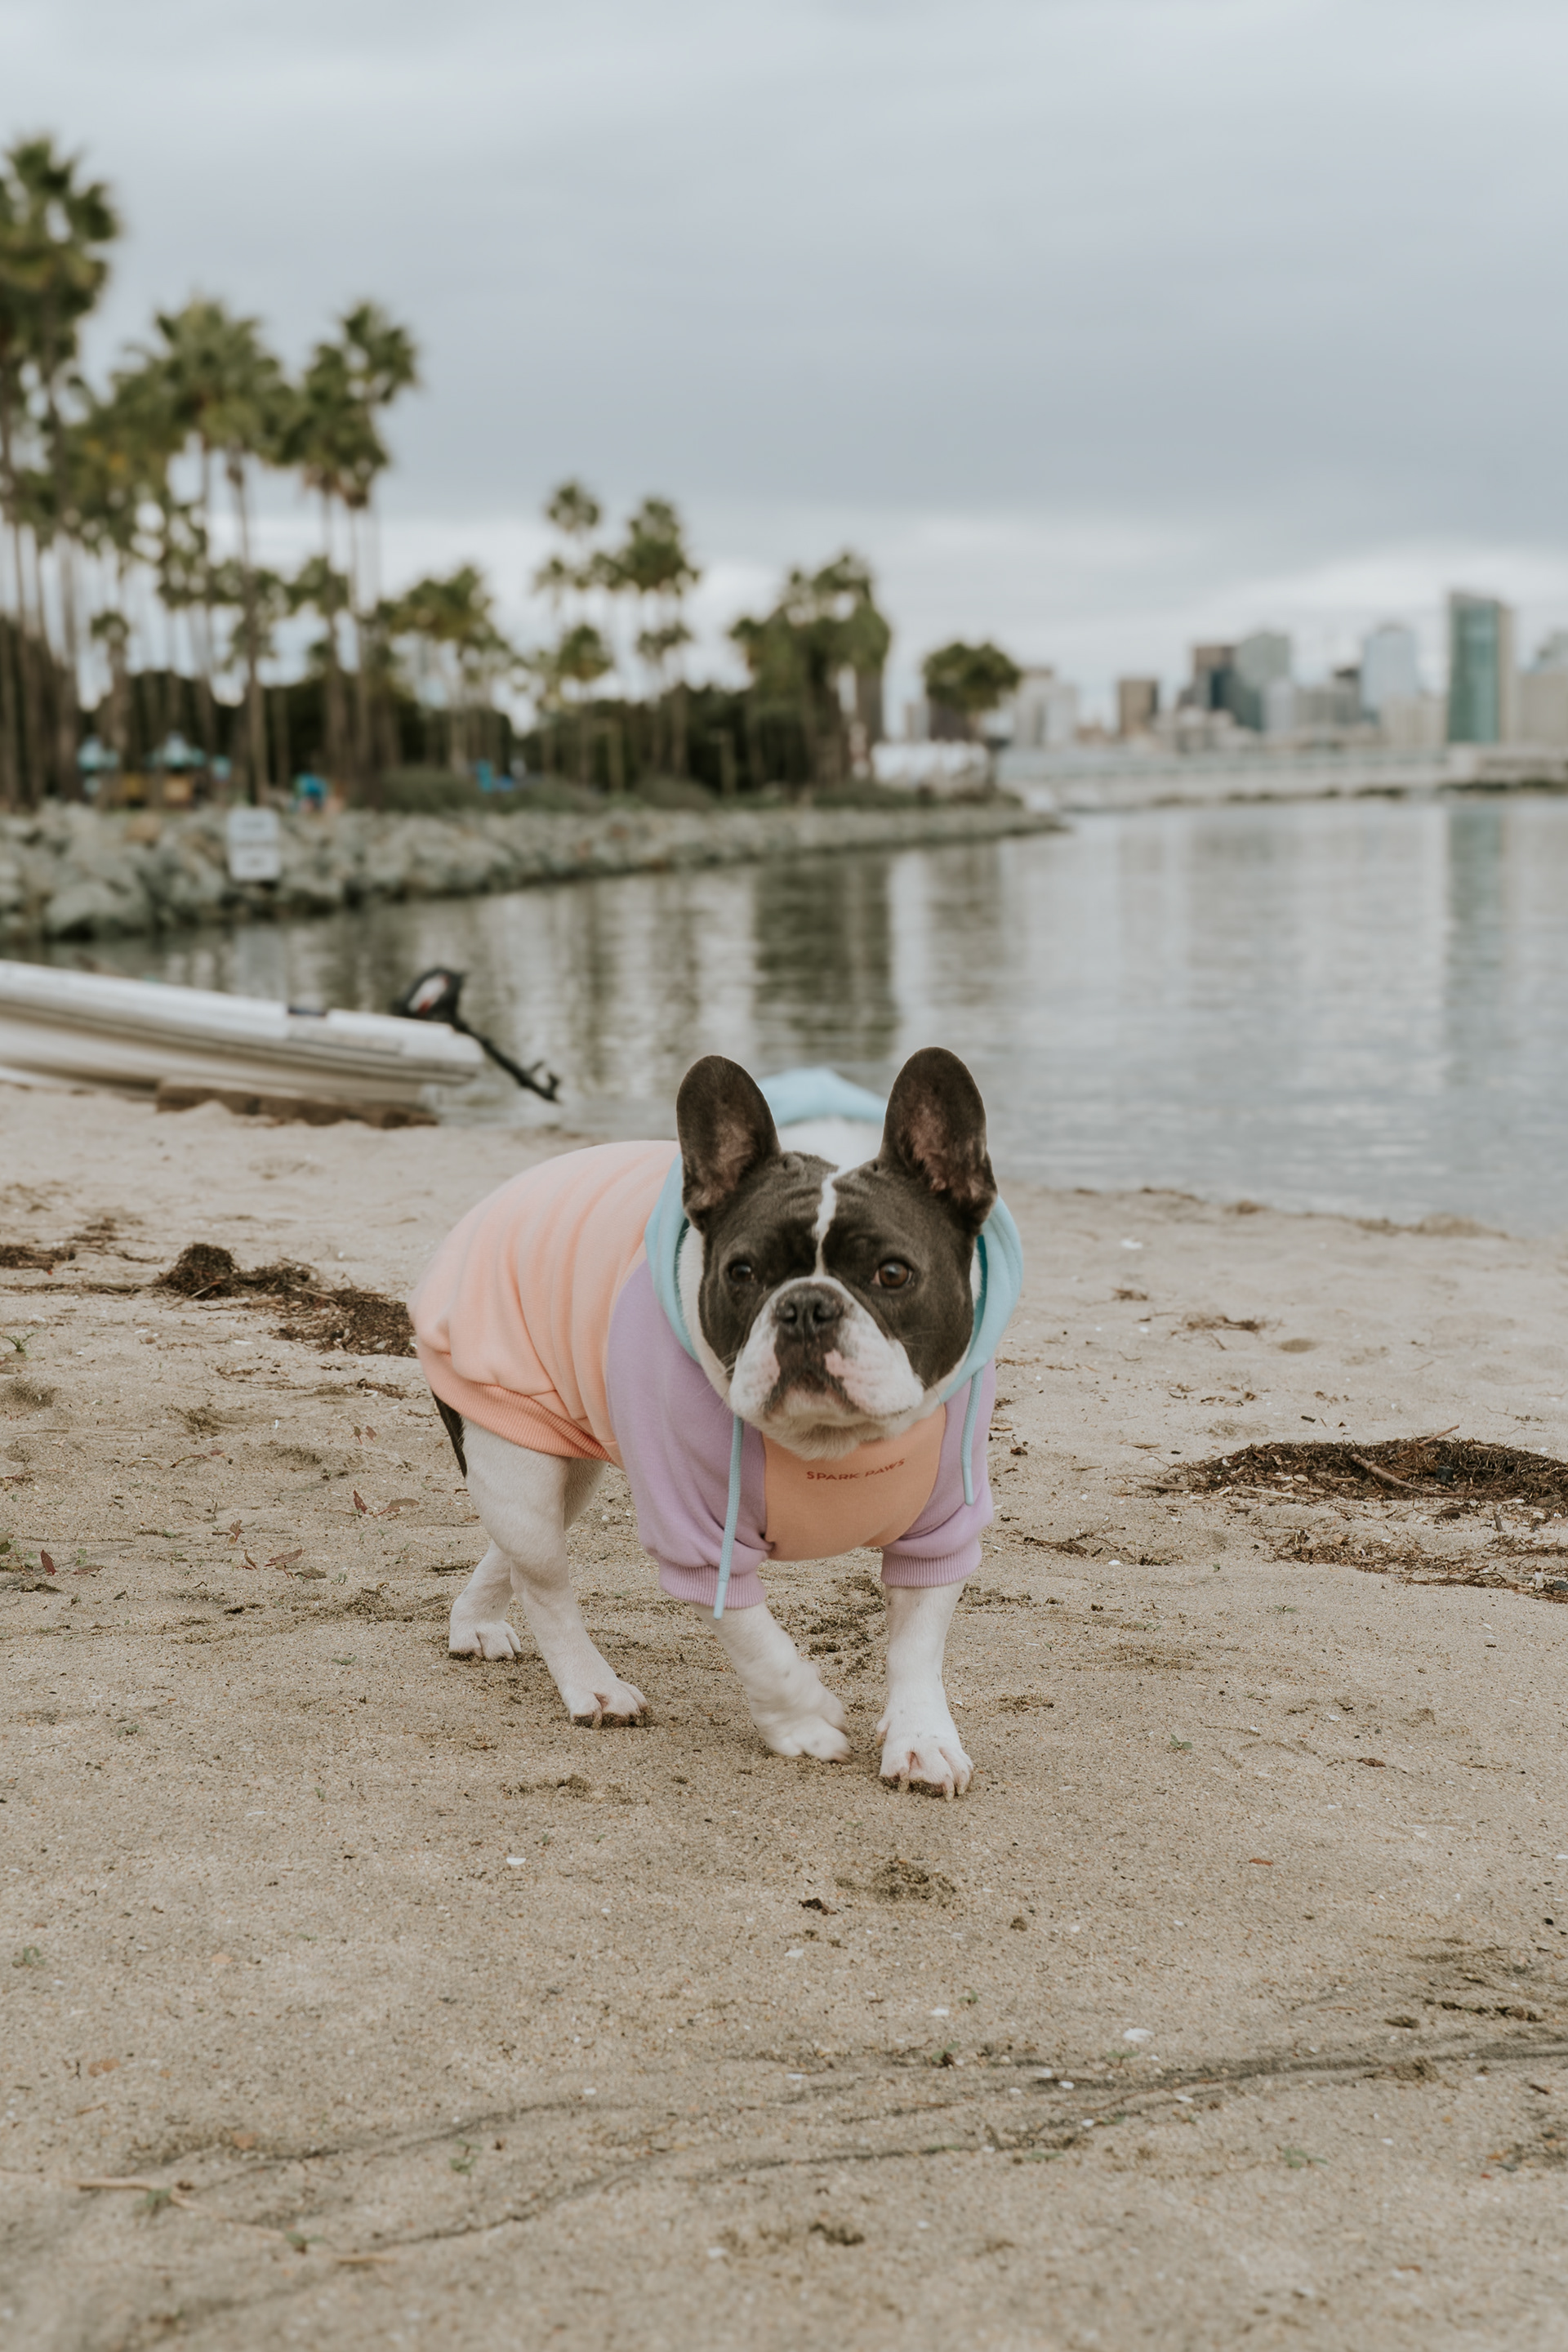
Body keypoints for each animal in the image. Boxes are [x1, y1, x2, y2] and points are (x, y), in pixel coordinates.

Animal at [411, 1046, 1020, 1796]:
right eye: (744, 1272)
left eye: (894, 1273)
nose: (806, 1306)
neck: (830, 1442)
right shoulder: (699, 1538)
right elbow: (759, 1642)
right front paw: (804, 1722)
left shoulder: (939, 1534)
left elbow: (916, 1647)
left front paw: (921, 1741)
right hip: (512, 1454)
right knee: (544, 1579)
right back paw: (594, 1688)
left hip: (560, 1466)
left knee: (517, 1551)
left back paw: (474, 1625)